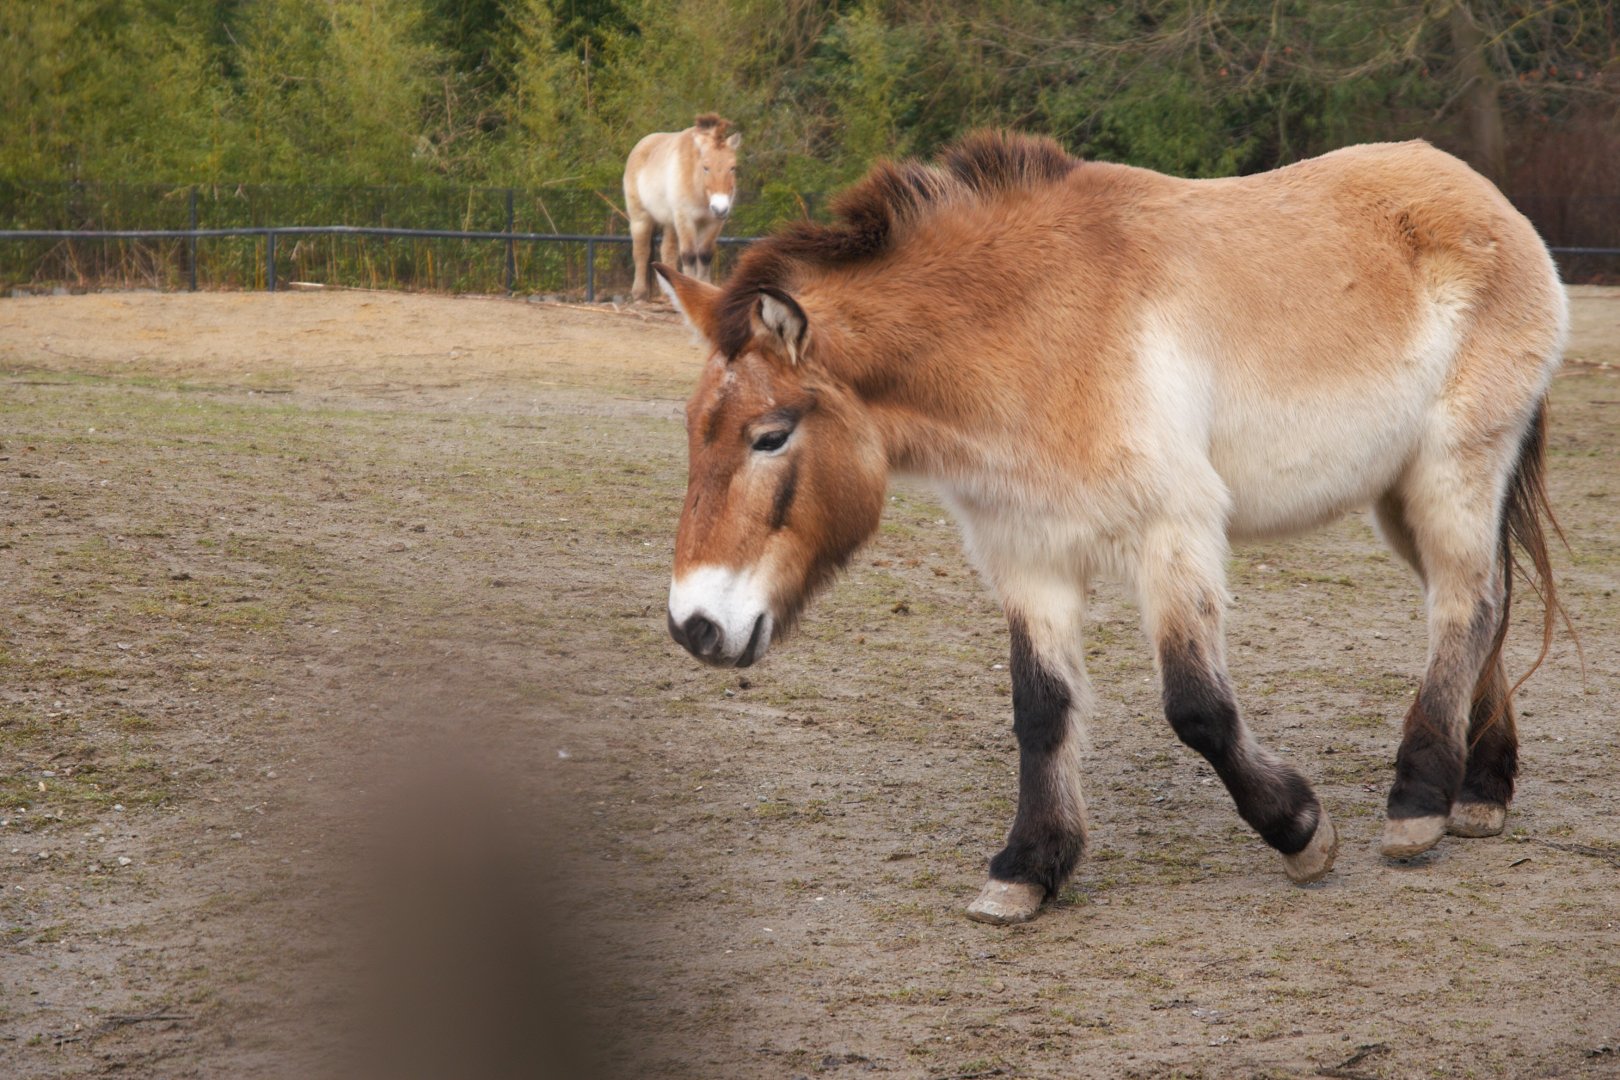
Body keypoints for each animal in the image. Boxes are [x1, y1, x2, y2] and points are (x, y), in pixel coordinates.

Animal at [625, 113, 742, 302]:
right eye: (706, 167)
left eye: (732, 167)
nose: (720, 208)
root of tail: (641, 145)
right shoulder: (685, 219)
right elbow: (689, 255)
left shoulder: (713, 223)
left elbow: (704, 255)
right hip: (640, 219)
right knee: (641, 251)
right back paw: (639, 293)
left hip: (670, 223)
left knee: (667, 251)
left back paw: (667, 294)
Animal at [655, 131, 1567, 925]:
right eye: (694, 429)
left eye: (770, 435)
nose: (696, 626)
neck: (1036, 331)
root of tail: (1482, 197)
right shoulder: (1029, 556)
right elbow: (1040, 708)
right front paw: (1029, 868)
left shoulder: (1174, 536)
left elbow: (1197, 709)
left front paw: (1300, 831)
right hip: (1400, 494)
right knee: (1486, 606)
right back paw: (1479, 792)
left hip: (1453, 473)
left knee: (1465, 609)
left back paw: (1418, 803)